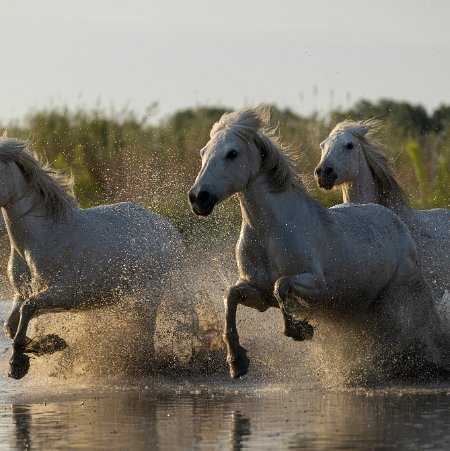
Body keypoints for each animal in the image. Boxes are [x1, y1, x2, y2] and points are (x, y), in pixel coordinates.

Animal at [0, 137, 183, 378]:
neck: (39, 241)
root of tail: (168, 229)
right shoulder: (21, 293)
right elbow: (11, 325)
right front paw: (51, 343)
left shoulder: (64, 293)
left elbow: (27, 310)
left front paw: (18, 363)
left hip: (151, 294)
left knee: (146, 334)